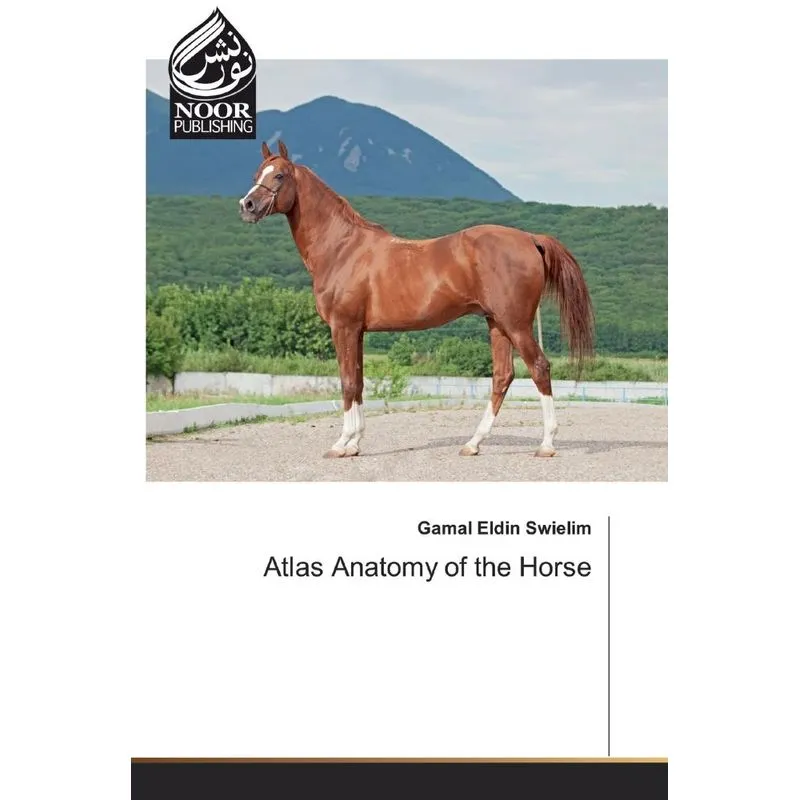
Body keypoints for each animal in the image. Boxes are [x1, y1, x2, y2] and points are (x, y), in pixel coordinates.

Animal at [239, 140, 594, 459]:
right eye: (257, 172)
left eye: (280, 175)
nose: (247, 205)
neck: (342, 249)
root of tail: (531, 239)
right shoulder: (357, 332)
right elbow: (359, 381)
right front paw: (354, 444)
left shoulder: (344, 327)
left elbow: (348, 383)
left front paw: (341, 445)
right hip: (497, 324)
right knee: (502, 376)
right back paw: (473, 444)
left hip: (516, 324)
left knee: (540, 368)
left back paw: (546, 445)